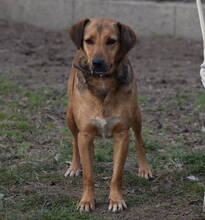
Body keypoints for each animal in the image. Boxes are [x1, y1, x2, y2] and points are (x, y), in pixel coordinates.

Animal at [64, 18, 152, 212]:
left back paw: (144, 168)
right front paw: (87, 201)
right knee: (75, 140)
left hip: (136, 115)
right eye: (88, 40)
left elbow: (117, 173)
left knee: (139, 140)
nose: (97, 62)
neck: (103, 81)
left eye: (111, 41)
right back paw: (75, 166)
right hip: (70, 116)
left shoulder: (122, 134)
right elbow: (88, 175)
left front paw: (116, 200)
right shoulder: (85, 133)